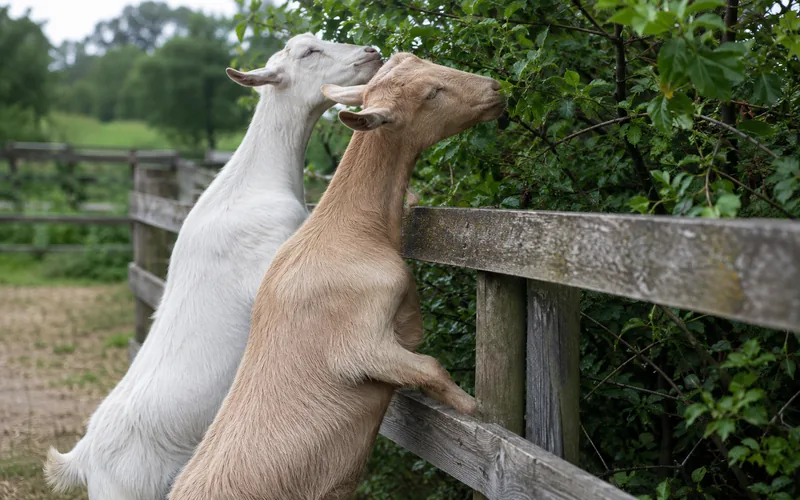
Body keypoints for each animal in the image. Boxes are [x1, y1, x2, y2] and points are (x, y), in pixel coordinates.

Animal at [168, 52, 505, 500]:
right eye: (432, 93)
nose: (495, 88)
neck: (349, 229)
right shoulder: (362, 346)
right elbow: (432, 367)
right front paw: (477, 415)